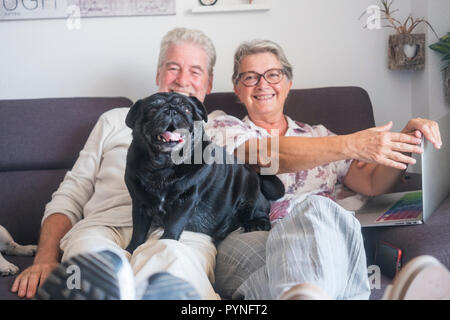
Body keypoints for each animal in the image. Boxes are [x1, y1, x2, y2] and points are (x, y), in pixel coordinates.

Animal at [125, 92, 284, 252]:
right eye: (152, 109)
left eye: (187, 109)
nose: (171, 110)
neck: (164, 166)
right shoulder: (139, 204)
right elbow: (138, 231)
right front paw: (131, 249)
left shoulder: (186, 202)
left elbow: (174, 225)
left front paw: (167, 241)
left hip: (249, 192)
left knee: (259, 210)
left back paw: (256, 223)